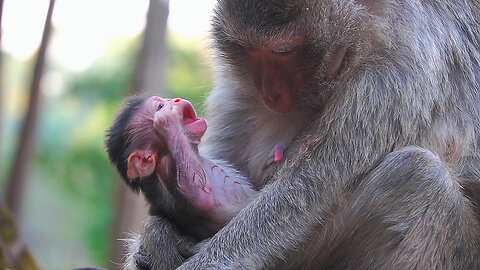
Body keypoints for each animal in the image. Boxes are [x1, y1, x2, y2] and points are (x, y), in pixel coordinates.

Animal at [107, 96, 258, 239]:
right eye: (160, 106)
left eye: (164, 100)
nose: (175, 100)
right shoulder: (167, 172)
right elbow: (202, 198)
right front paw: (167, 120)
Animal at [125, 0, 480, 268]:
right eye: (246, 50)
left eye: (283, 50)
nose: (270, 92)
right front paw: (157, 234)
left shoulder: (399, 69)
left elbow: (308, 185)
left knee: (418, 175)